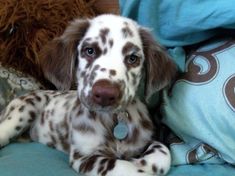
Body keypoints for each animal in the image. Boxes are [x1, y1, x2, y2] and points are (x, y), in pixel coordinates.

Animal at [0, 14, 176, 175]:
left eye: (133, 58)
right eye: (89, 51)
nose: (105, 94)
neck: (112, 120)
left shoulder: (148, 141)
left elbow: (163, 153)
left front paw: (143, 162)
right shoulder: (85, 157)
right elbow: (122, 168)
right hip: (25, 109)